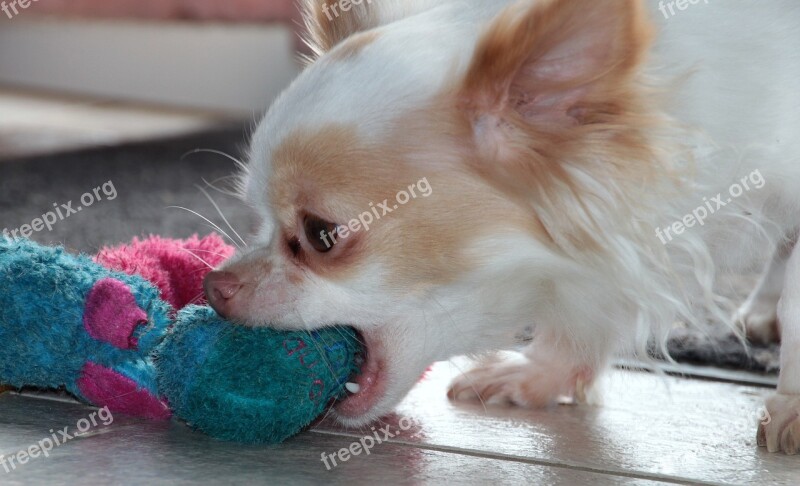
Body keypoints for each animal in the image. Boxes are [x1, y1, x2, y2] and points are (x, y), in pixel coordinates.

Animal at [205, 0, 800, 456]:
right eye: (255, 219)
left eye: (321, 235)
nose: (214, 285)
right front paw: (545, 373)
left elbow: (798, 300)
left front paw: (793, 405)